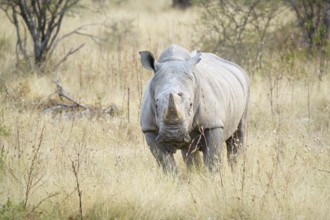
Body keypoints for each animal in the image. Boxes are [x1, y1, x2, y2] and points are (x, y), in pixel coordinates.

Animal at [138, 44, 249, 172]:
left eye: (191, 105)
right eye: (156, 105)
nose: (172, 134)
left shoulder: (213, 124)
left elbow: (212, 159)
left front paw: (213, 176)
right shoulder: (149, 129)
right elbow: (165, 162)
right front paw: (175, 176)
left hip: (244, 86)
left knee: (238, 135)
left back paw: (236, 171)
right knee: (189, 151)